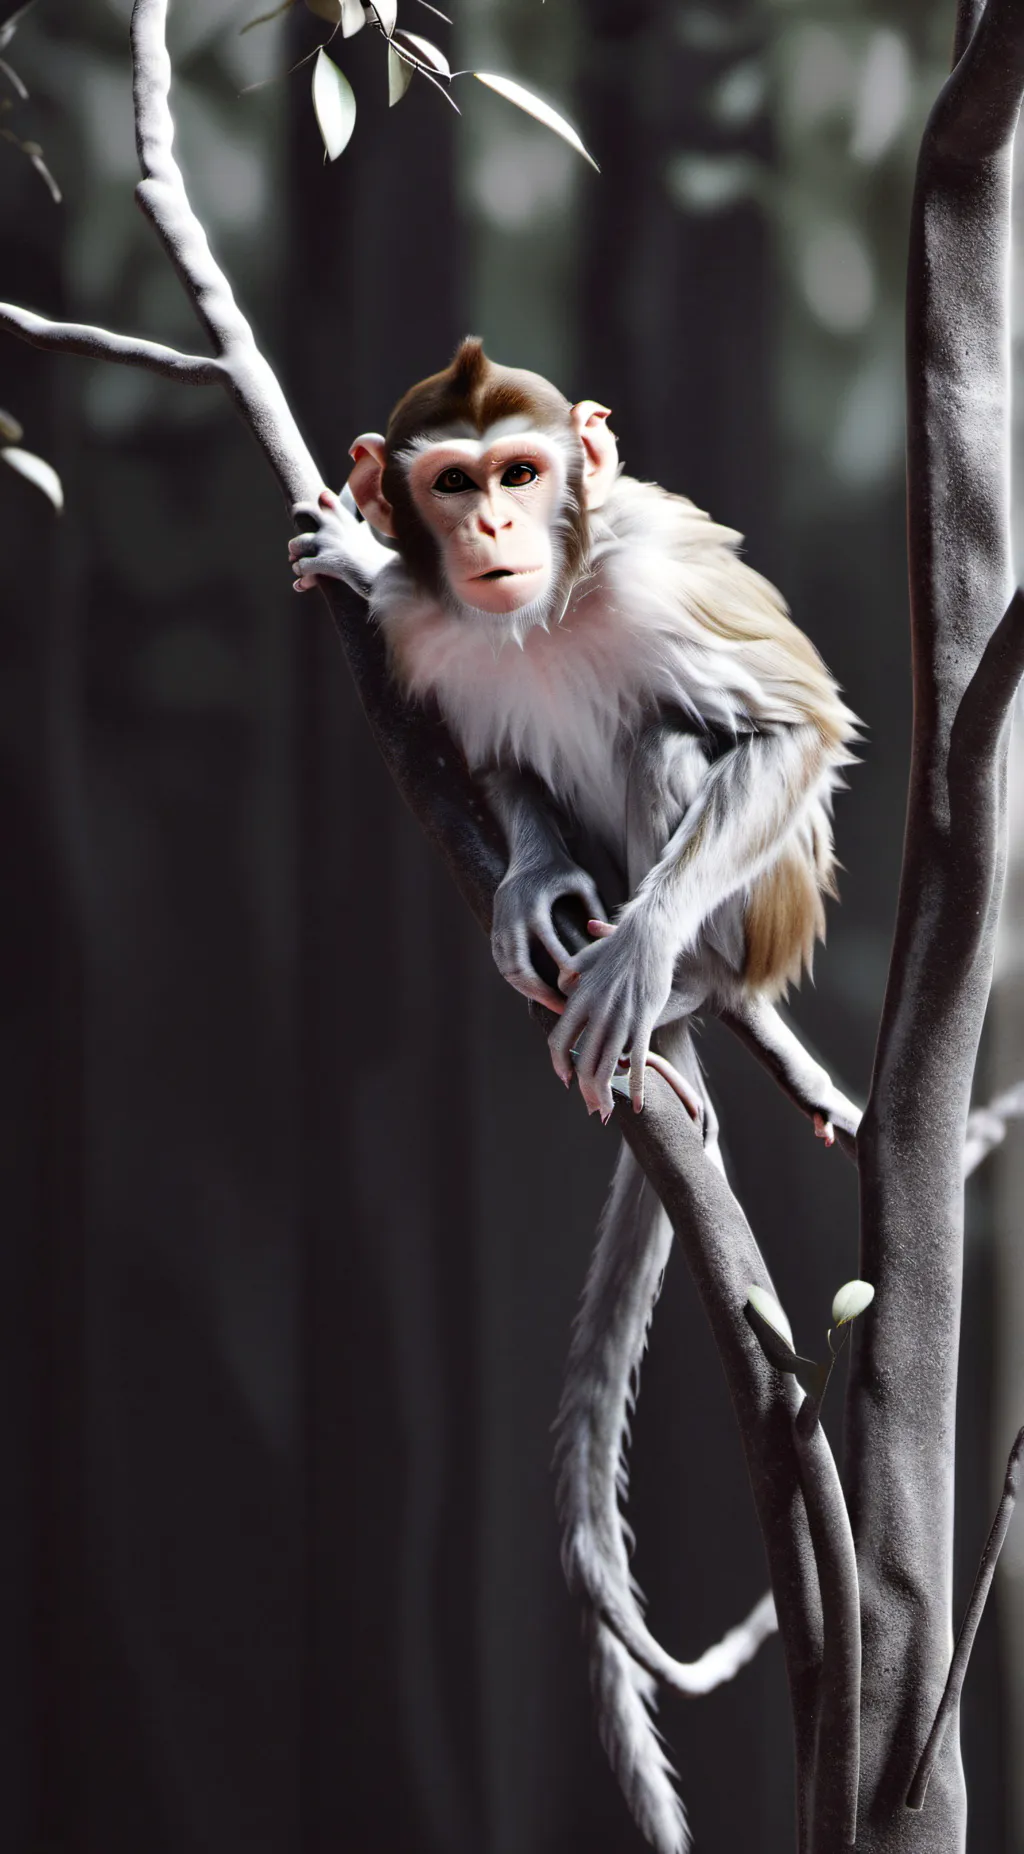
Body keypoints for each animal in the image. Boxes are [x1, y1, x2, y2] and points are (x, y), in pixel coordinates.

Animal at [288, 338, 861, 1854]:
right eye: (450, 481)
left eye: (521, 472)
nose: (490, 529)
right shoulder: (423, 646)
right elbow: (490, 757)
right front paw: (532, 884)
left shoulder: (654, 585)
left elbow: (796, 724)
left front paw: (643, 948)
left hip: (773, 905)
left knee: (685, 741)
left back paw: (696, 1003)